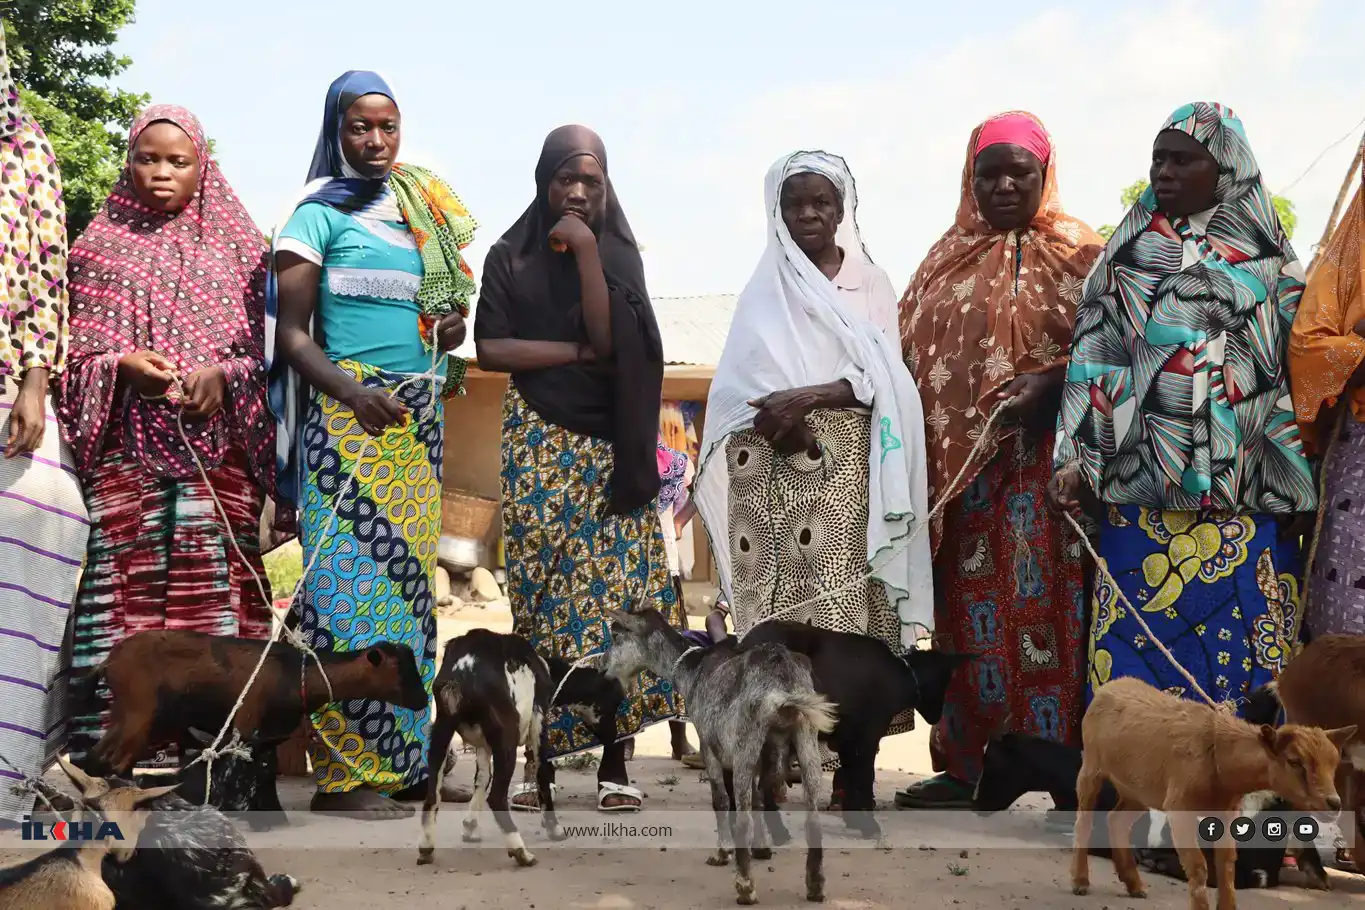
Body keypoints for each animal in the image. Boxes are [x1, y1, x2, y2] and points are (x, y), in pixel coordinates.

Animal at [74, 633, 425, 774]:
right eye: (399, 670)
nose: (422, 701)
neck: (296, 673)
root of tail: (108, 662)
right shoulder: (246, 715)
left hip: (130, 712)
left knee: (98, 758)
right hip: (141, 711)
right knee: (115, 763)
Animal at [606, 605, 829, 905]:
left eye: (617, 636)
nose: (603, 668)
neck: (692, 670)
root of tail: (782, 682)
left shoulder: (708, 744)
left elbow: (720, 800)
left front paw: (722, 853)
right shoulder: (763, 755)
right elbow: (759, 800)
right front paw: (762, 849)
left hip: (746, 742)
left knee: (743, 816)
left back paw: (745, 887)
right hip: (806, 736)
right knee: (812, 814)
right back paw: (815, 885)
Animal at [1075, 676, 1354, 910]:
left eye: (1334, 763)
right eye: (1295, 761)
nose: (1333, 803)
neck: (1218, 756)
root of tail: (1113, 684)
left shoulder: (1227, 813)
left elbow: (1226, 864)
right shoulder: (1180, 808)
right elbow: (1199, 867)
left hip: (1137, 789)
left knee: (1116, 820)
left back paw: (1133, 884)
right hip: (1091, 767)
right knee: (1084, 820)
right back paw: (1080, 881)